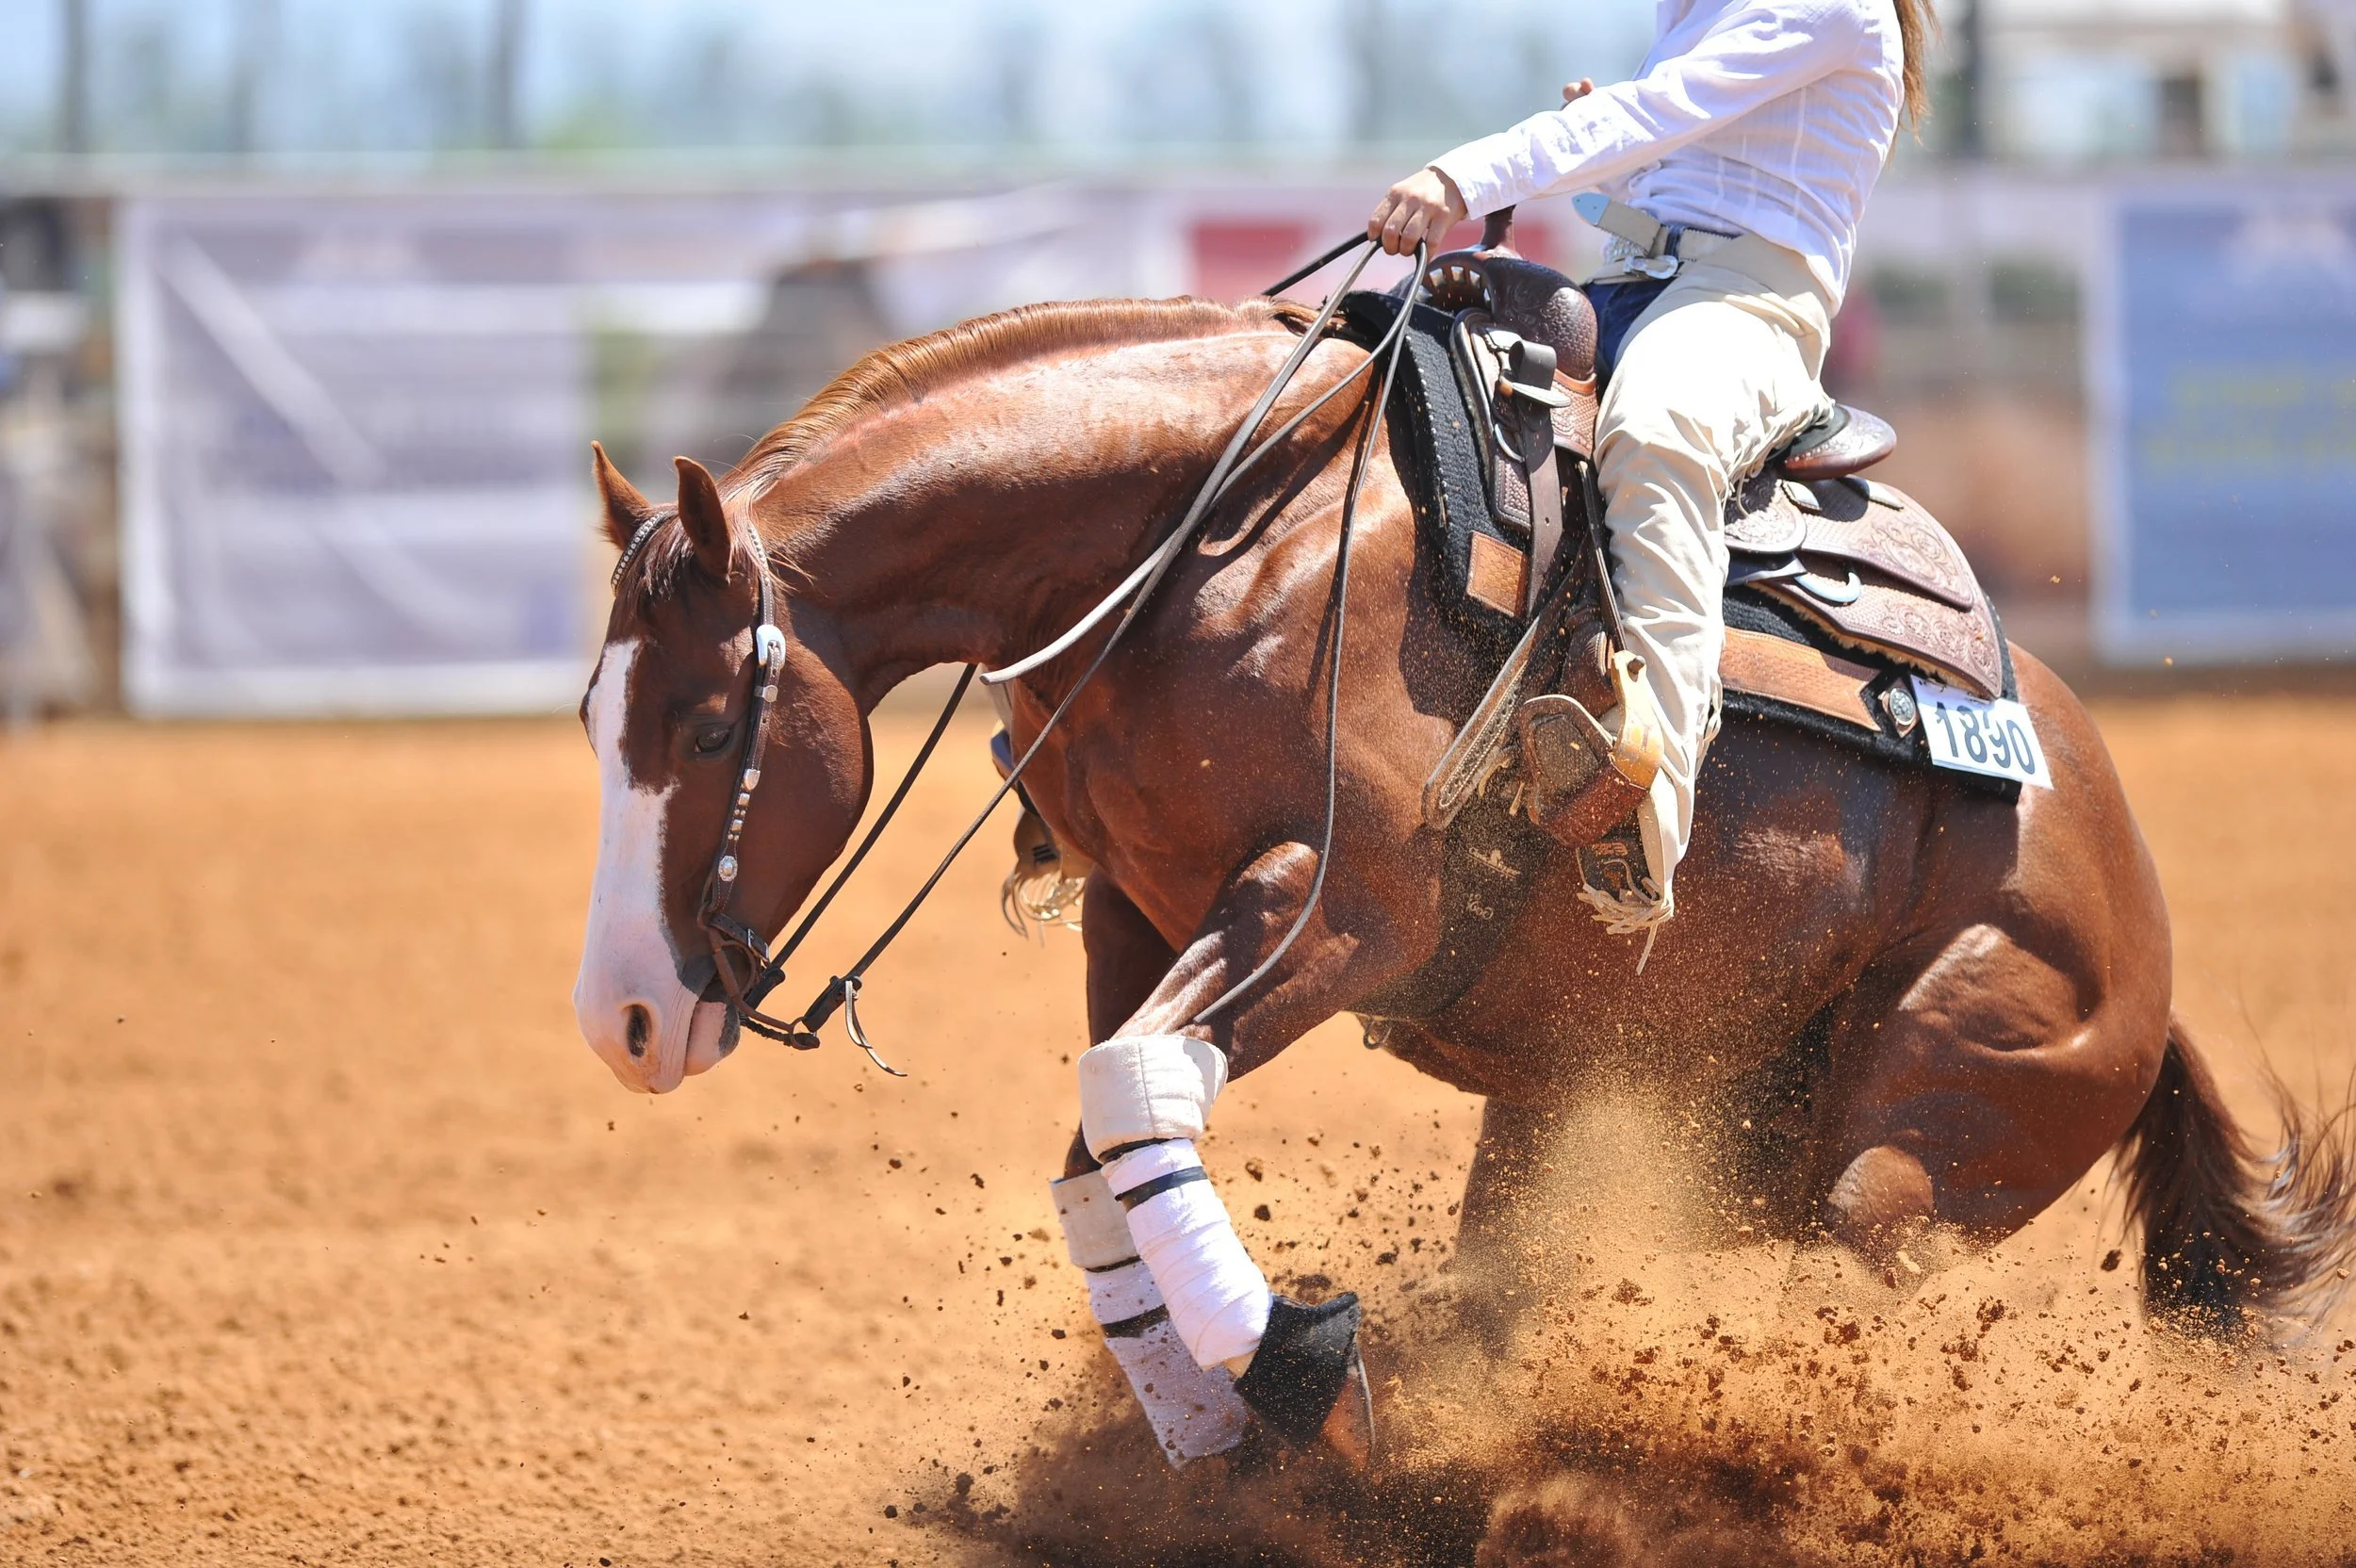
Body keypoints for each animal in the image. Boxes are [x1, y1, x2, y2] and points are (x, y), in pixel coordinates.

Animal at [570, 290, 2356, 1459]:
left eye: (712, 715)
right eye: (596, 714)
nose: (624, 1024)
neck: (1223, 534)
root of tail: (2147, 959)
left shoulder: (1341, 909)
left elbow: (1138, 1086)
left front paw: (1299, 1363)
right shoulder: (1141, 911)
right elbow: (1101, 1150)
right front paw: (1218, 1432)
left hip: (1909, 1159)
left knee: (1851, 1282)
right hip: (1622, 1122)